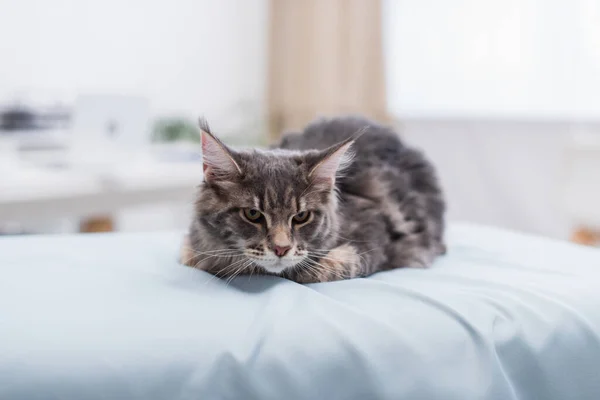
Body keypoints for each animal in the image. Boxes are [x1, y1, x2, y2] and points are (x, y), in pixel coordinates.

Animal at [182, 115, 446, 284]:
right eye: (252, 214)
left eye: (301, 216)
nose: (281, 248)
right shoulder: (194, 249)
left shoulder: (371, 232)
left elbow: (329, 266)